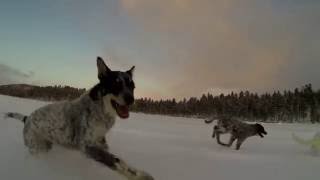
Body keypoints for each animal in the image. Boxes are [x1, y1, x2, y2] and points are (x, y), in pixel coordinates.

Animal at [4, 56, 154, 180]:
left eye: (132, 86)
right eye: (115, 84)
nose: (131, 99)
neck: (100, 109)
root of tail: (27, 118)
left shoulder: (99, 142)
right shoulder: (86, 145)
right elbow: (117, 161)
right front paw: (140, 175)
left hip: (47, 145)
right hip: (37, 149)